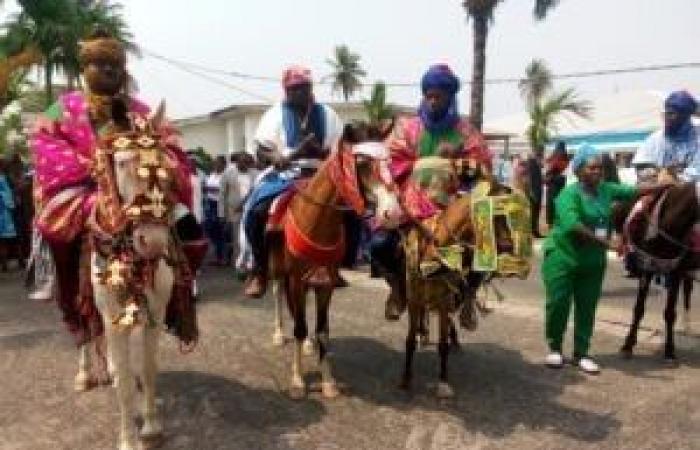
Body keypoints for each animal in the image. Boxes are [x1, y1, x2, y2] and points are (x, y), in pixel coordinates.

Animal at [266, 121, 400, 400]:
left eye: (391, 162)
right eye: (361, 163)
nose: (392, 213)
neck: (316, 220)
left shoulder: (325, 282)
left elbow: (322, 331)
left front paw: (328, 381)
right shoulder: (295, 280)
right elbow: (300, 327)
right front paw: (298, 380)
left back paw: (307, 345)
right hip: (279, 271)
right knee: (277, 295)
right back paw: (278, 333)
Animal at [612, 185, 700, 364]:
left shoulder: (675, 272)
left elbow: (670, 313)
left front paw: (669, 351)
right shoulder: (647, 267)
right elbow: (639, 309)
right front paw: (628, 346)